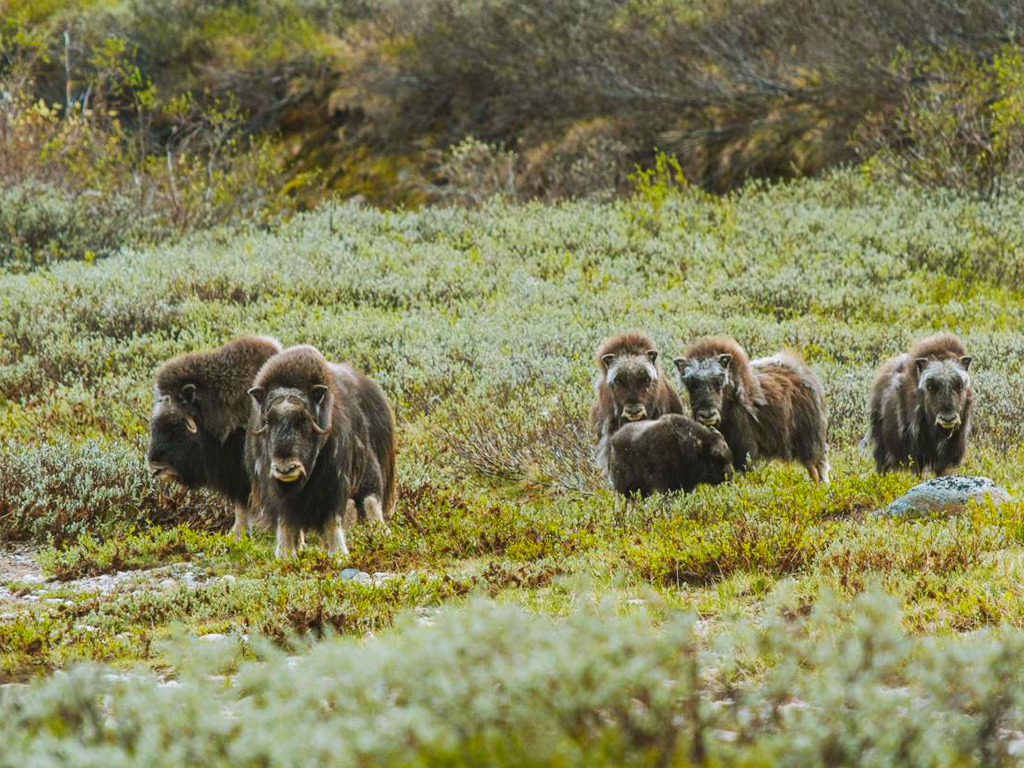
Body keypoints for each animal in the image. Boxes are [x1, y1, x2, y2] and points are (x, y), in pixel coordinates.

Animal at [243, 348, 395, 561]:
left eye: (304, 419)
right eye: (268, 420)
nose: (286, 468)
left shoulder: (335, 482)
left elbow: (333, 517)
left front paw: (339, 554)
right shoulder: (274, 487)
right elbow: (285, 519)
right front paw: (285, 554)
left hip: (369, 472)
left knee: (370, 501)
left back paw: (381, 537)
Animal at [671, 339, 831, 483]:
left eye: (718, 383)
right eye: (692, 384)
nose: (707, 415)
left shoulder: (745, 450)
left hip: (810, 441)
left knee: (817, 466)